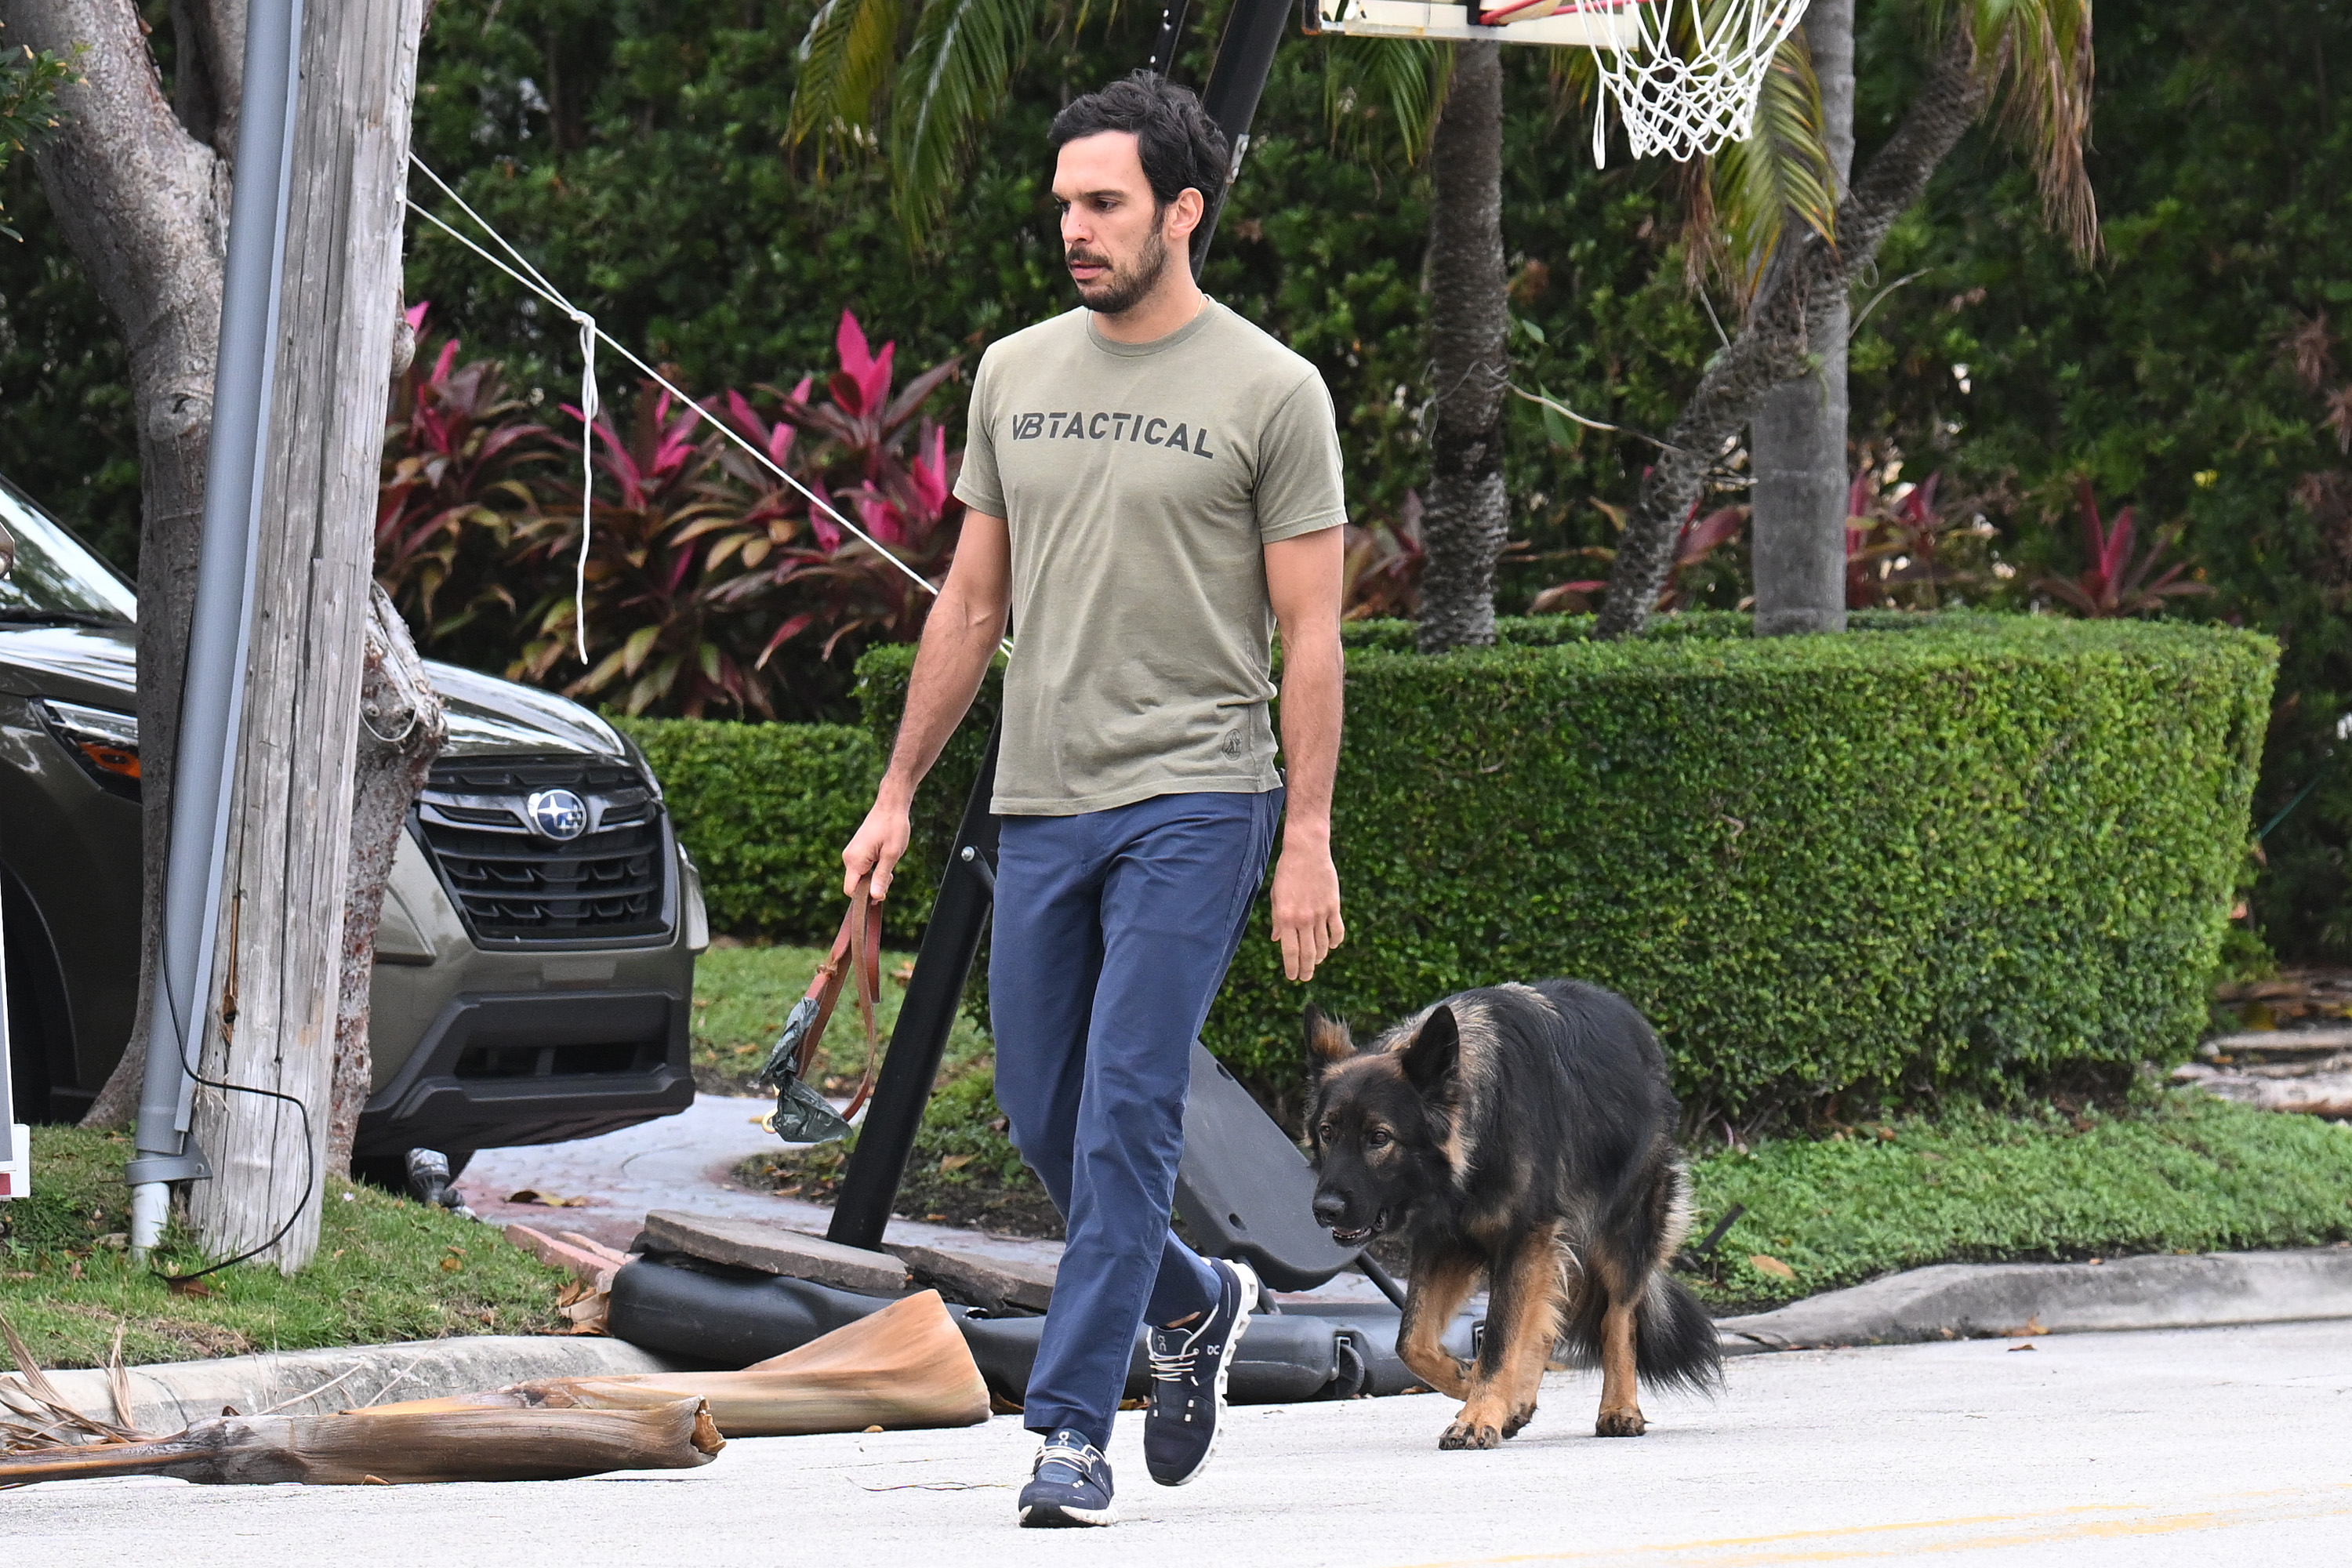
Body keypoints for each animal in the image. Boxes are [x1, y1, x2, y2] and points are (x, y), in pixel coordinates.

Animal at [1308, 987, 1712, 1457]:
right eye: (1327, 1132)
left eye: (1379, 1138)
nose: (1324, 1209)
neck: (1481, 1134)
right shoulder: (1445, 1242)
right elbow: (1412, 1342)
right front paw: (1470, 1386)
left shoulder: (1523, 1239)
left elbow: (1500, 1340)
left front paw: (1478, 1415)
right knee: (1547, 1320)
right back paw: (1517, 1401)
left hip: (1621, 1235)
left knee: (1617, 1318)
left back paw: (1619, 1408)